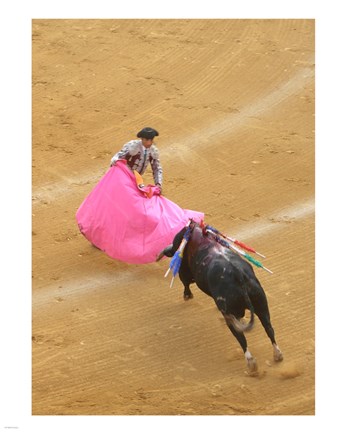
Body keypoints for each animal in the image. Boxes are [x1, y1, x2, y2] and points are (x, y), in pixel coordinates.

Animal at [157, 221, 284, 372]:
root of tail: (238, 275)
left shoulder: (184, 271)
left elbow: (186, 283)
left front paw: (187, 295)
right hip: (261, 304)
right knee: (269, 328)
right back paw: (277, 354)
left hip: (231, 313)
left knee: (241, 338)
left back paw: (251, 363)